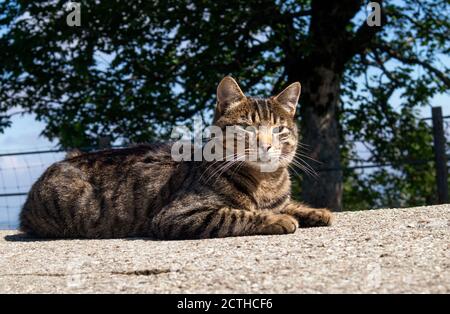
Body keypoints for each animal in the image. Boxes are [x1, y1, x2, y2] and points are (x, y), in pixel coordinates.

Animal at [19, 77, 332, 239]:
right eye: (247, 127)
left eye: (279, 129)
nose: (265, 145)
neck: (266, 181)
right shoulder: (178, 215)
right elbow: (238, 214)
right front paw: (278, 219)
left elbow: (290, 204)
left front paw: (315, 211)